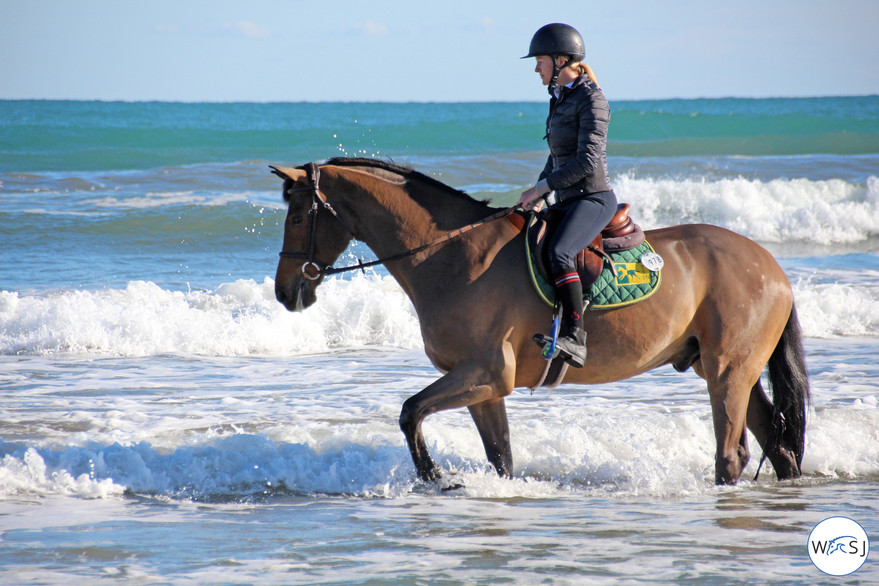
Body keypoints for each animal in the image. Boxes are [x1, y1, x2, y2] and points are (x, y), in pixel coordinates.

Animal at [270, 156, 812, 484]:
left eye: (296, 218)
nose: (284, 292)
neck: (453, 255)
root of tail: (771, 267)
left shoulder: (486, 374)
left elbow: (409, 411)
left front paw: (435, 477)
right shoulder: (484, 386)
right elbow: (500, 457)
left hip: (728, 372)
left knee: (732, 453)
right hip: (725, 369)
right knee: (777, 445)